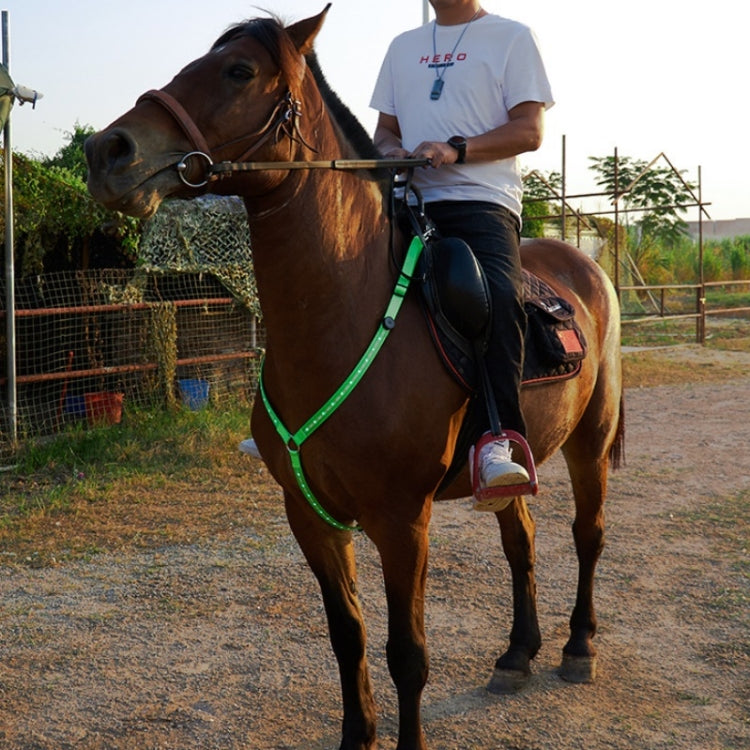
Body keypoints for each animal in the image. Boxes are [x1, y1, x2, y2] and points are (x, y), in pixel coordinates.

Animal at [85, 7, 624, 750]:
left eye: (238, 71)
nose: (105, 152)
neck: (340, 317)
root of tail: (585, 263)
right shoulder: (311, 516)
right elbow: (348, 635)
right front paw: (355, 735)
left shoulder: (401, 521)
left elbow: (407, 654)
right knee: (522, 540)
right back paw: (517, 653)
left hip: (589, 442)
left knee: (587, 534)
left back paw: (579, 647)